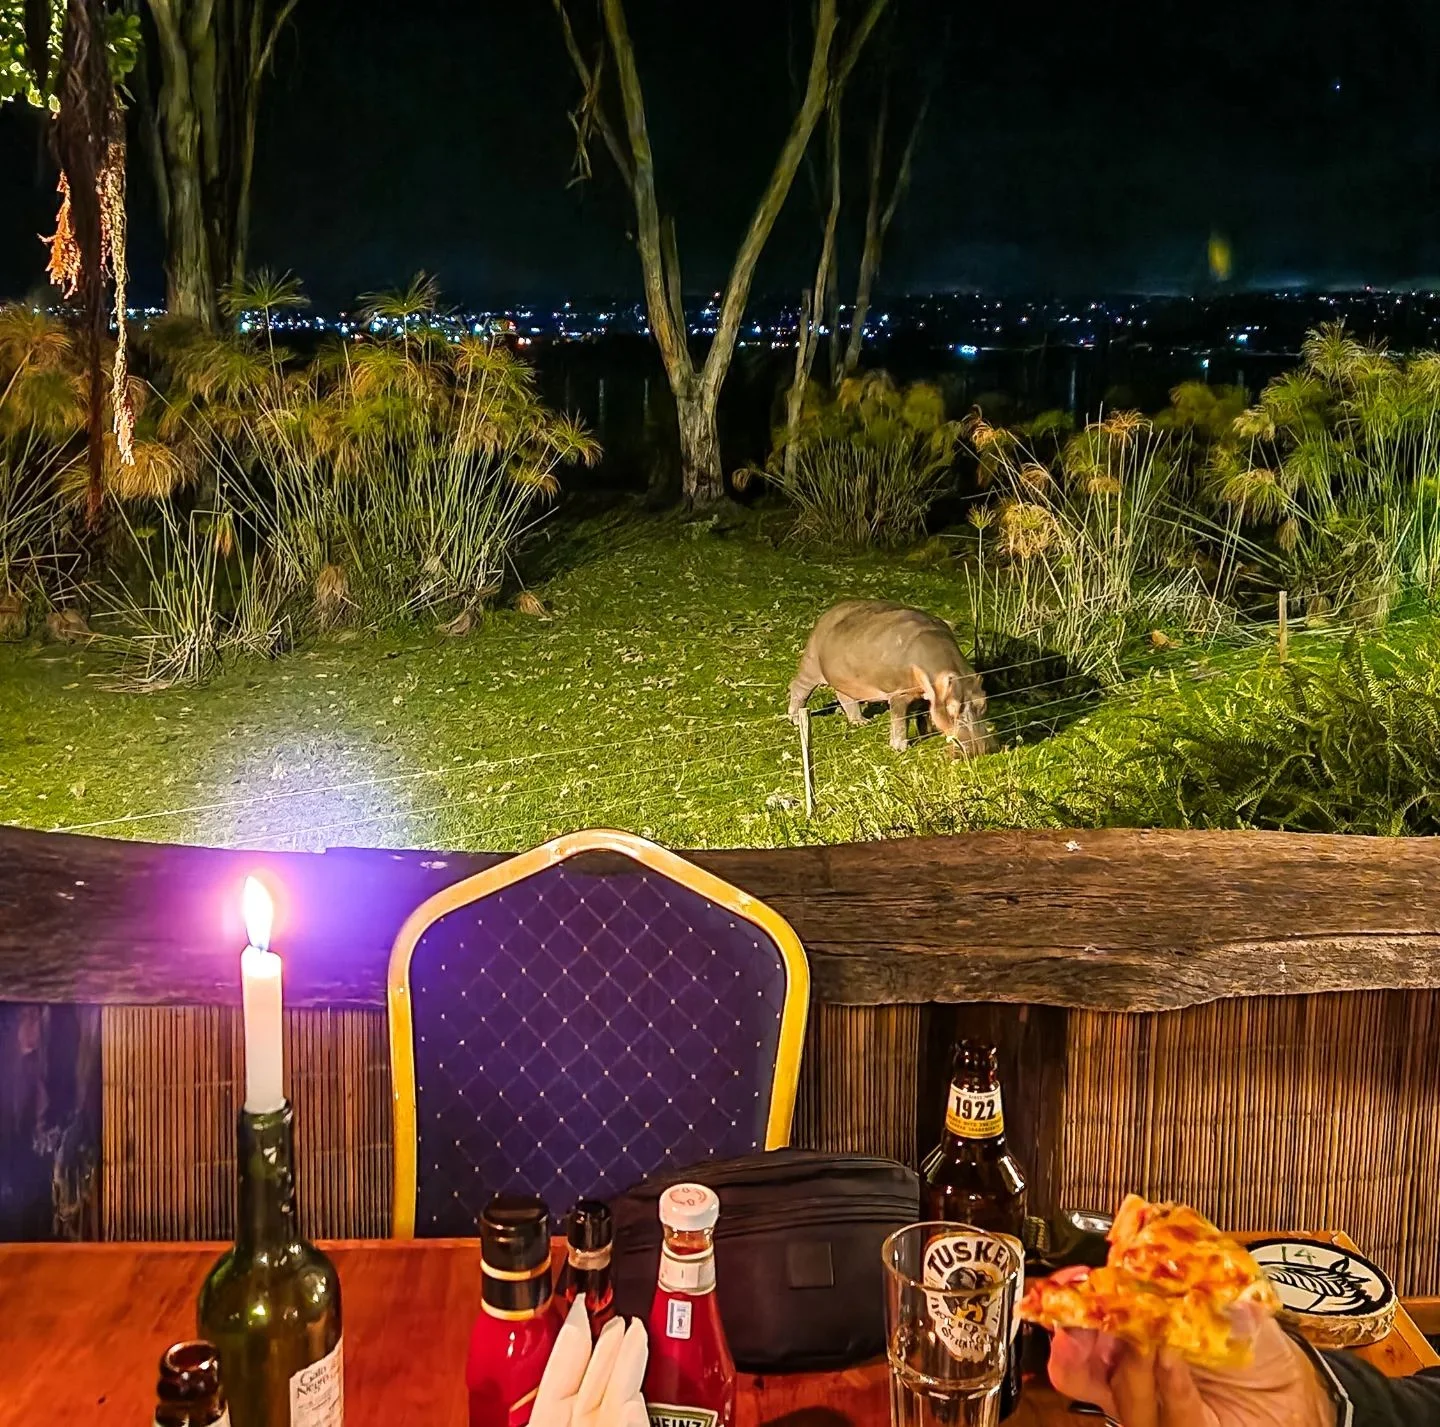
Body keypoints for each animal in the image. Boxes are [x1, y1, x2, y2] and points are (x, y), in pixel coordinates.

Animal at [789, 599, 1002, 760]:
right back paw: (794, 719)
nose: (982, 750)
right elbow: (900, 720)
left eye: (984, 703)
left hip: (845, 679)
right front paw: (900, 748)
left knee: (845, 697)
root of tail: (829, 612)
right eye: (952, 709)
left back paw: (861, 722)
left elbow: (924, 713)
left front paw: (927, 731)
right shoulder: (900, 694)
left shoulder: (927, 693)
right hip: (811, 664)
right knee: (798, 687)